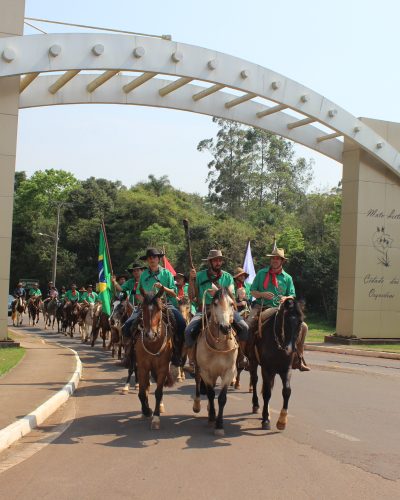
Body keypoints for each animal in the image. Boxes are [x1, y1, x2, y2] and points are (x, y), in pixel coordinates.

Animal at [135, 288, 174, 432]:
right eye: (143, 308)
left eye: (159, 309)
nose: (150, 335)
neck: (153, 343)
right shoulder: (142, 367)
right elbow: (141, 392)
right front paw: (146, 410)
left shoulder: (162, 368)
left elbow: (158, 392)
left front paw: (156, 418)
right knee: (146, 387)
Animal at [193, 288, 238, 436]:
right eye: (215, 303)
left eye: (231, 303)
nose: (225, 327)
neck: (219, 346)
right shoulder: (205, 371)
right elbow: (211, 394)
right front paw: (212, 418)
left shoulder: (229, 372)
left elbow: (222, 398)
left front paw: (219, 425)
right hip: (199, 369)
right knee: (198, 384)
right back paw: (197, 406)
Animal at [250, 296, 304, 430]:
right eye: (286, 320)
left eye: (300, 321)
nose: (290, 349)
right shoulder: (266, 368)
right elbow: (267, 393)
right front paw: (265, 420)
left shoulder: (286, 369)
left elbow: (287, 391)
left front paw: (282, 420)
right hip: (253, 362)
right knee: (255, 380)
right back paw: (256, 405)